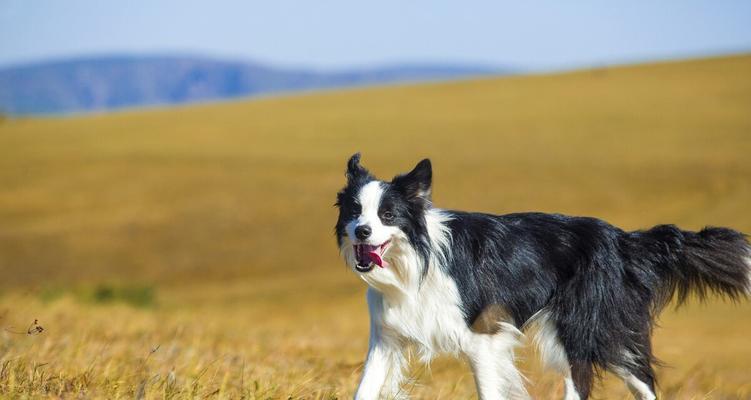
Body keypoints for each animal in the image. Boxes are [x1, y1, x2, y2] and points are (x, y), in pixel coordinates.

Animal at [336, 153, 751, 400]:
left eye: (388, 214)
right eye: (355, 212)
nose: (361, 232)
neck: (414, 264)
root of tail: (622, 238)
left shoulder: (483, 337)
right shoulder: (387, 338)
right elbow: (366, 387)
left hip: (588, 328)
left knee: (626, 379)